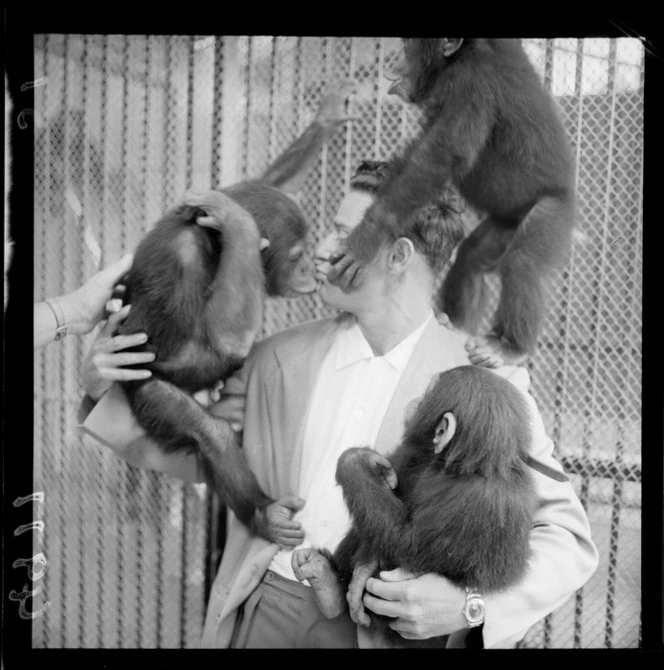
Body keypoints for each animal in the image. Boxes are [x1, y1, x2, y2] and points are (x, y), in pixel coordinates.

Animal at [114, 82, 358, 536]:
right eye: (297, 256)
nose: (311, 272)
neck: (213, 247)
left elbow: (267, 181)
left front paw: (328, 115)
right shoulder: (181, 262)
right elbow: (210, 347)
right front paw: (240, 224)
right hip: (142, 393)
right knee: (208, 431)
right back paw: (263, 512)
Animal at [290, 364, 540, 648]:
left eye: (428, 393)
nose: (416, 400)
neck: (469, 465)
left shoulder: (478, 503)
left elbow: (405, 544)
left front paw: (355, 461)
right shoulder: (422, 458)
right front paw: (372, 463)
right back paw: (326, 582)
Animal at [330, 39, 580, 368]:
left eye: (407, 47)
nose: (393, 60)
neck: (456, 60)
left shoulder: (472, 82)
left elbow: (440, 156)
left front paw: (367, 238)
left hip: (554, 214)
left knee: (524, 262)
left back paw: (510, 347)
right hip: (505, 224)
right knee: (471, 257)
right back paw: (458, 324)